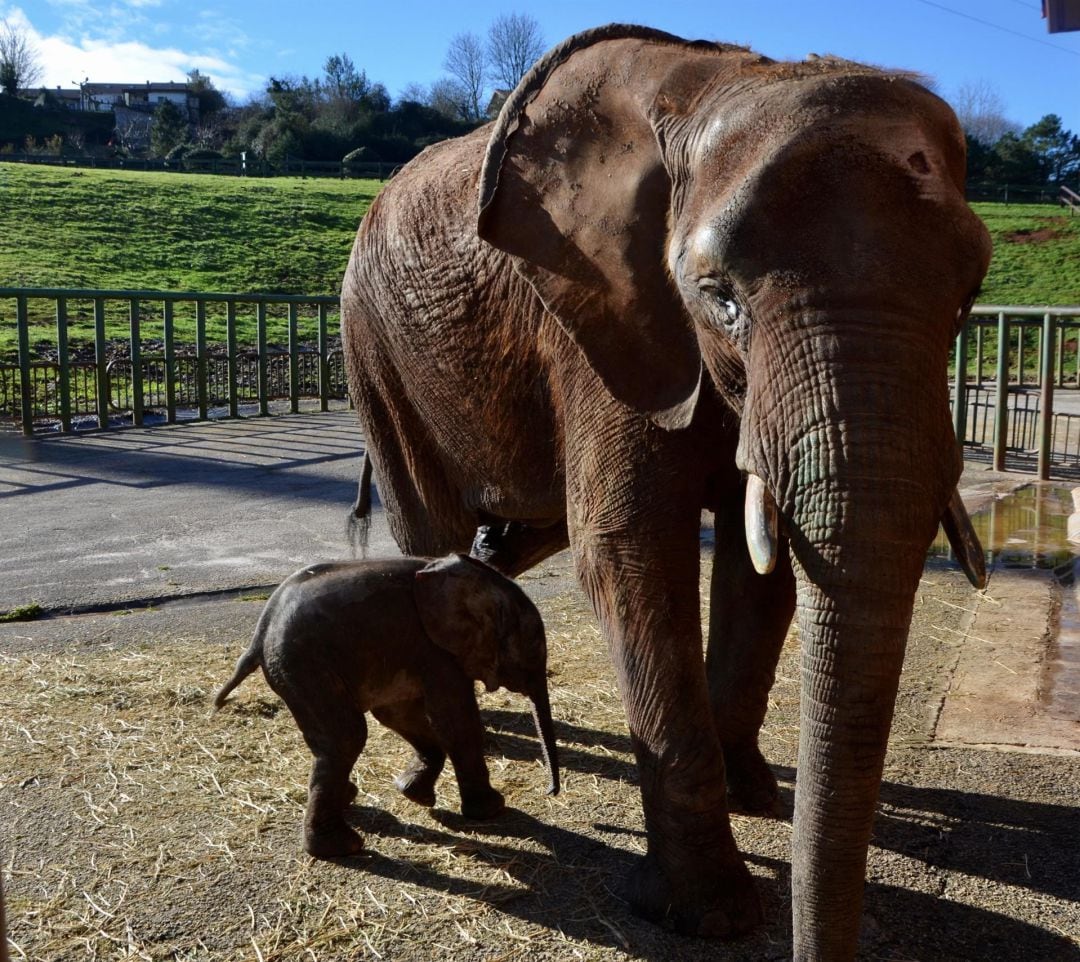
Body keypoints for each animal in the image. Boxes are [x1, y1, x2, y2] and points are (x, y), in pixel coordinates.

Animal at [214, 552, 561, 859]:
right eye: (533, 646)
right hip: (306, 666)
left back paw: (348, 800)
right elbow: (455, 719)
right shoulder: (436, 651)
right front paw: (492, 810)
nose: (550, 793)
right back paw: (343, 848)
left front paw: (414, 794)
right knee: (347, 737)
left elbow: (399, 714)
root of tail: (260, 633)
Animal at [341, 22, 989, 962]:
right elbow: (629, 551)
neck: (727, 82)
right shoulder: (602, 318)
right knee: (431, 538)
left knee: (501, 541)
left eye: (971, 295)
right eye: (719, 299)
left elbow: (764, 567)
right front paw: (707, 915)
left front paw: (757, 797)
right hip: (376, 352)